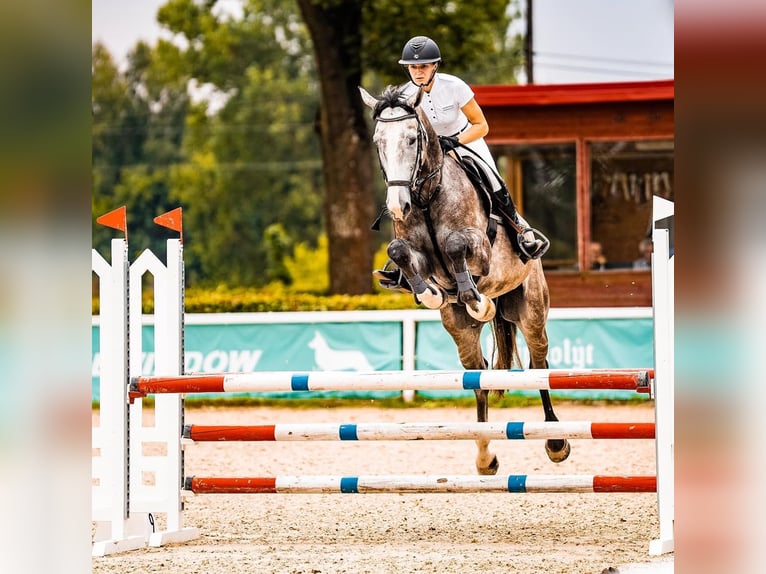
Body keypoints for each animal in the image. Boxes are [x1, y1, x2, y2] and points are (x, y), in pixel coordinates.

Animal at [360, 83, 568, 474]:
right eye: (378, 140)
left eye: (412, 138)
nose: (397, 206)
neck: (426, 198)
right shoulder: (417, 255)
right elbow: (400, 251)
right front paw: (431, 294)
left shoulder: (480, 250)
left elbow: (457, 245)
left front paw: (477, 300)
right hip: (460, 331)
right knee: (479, 376)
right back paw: (486, 456)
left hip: (531, 312)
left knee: (539, 364)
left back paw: (556, 442)